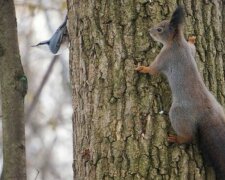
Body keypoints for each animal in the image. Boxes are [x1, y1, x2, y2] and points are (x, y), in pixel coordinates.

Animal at [135, 6, 225, 179]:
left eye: (160, 29)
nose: (149, 31)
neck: (176, 41)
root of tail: (207, 111)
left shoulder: (165, 56)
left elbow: (153, 70)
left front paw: (142, 68)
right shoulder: (188, 50)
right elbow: (193, 48)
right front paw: (192, 39)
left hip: (178, 113)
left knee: (189, 136)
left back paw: (177, 138)